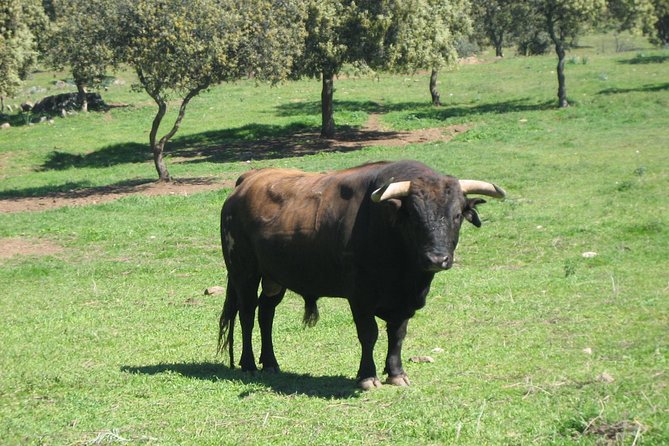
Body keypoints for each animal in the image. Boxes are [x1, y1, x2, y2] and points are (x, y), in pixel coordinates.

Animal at [218, 160, 505, 389]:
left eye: (456, 215)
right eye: (414, 215)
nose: (437, 259)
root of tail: (247, 181)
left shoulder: (404, 301)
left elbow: (397, 335)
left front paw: (396, 373)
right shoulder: (360, 297)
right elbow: (369, 334)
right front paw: (368, 376)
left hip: (274, 278)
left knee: (266, 313)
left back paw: (270, 363)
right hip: (244, 272)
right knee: (247, 314)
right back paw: (249, 364)